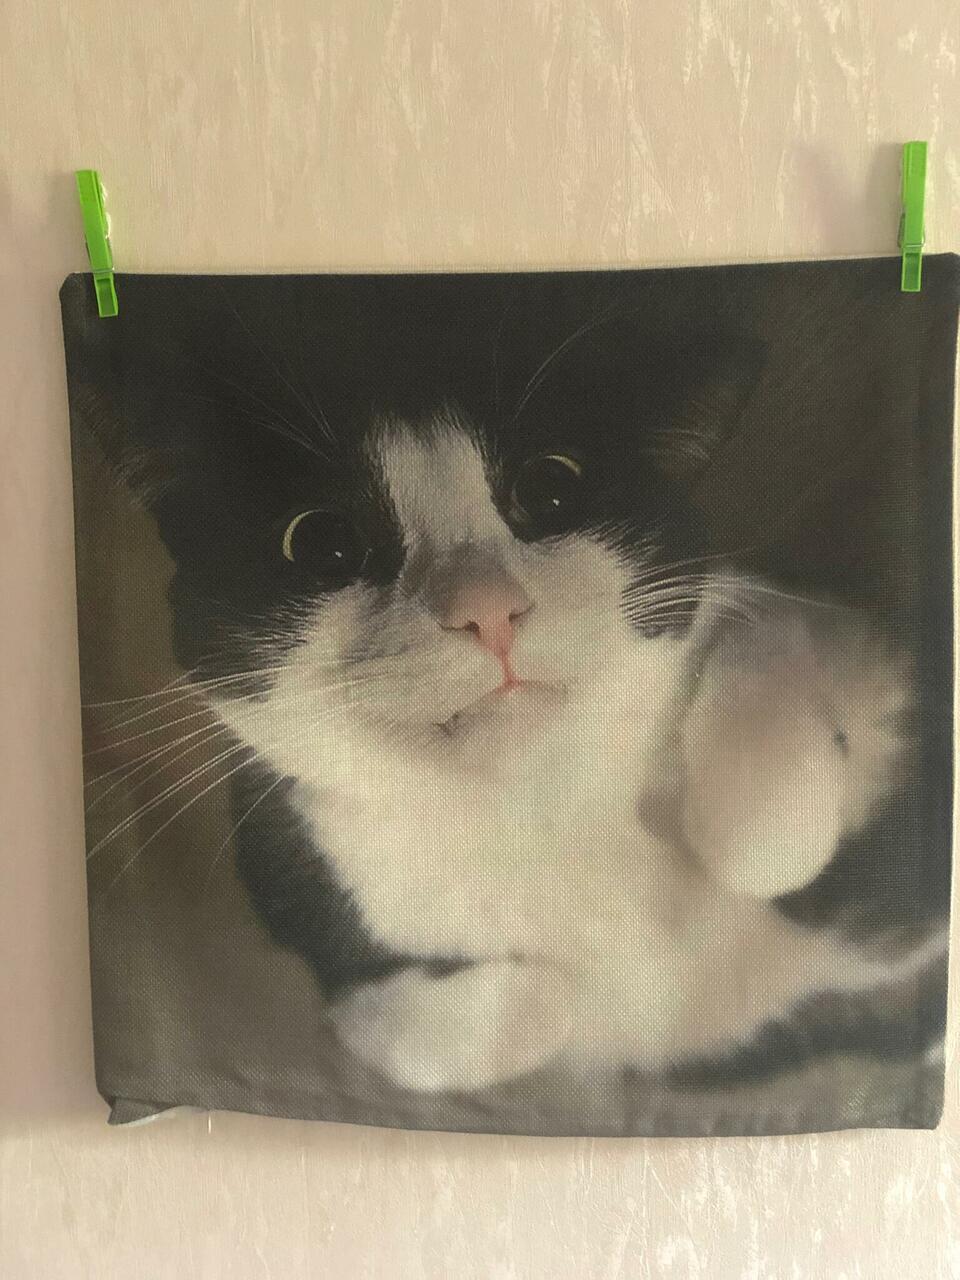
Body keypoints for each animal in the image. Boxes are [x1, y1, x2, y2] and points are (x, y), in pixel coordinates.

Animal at [68, 272, 949, 1099]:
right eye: (320, 541)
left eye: (552, 490)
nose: (485, 608)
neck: (539, 809)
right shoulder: (312, 909)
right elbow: (428, 1018)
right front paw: (557, 994)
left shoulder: (869, 653)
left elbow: (771, 620)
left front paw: (761, 831)